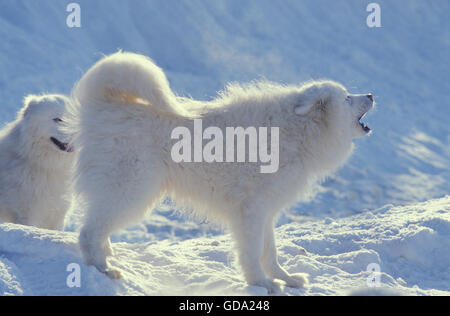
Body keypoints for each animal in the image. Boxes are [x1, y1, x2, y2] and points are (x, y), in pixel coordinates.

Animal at [67, 51, 374, 292]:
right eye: (347, 97)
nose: (371, 94)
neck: (297, 131)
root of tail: (101, 106)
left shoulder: (266, 211)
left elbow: (270, 252)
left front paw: (285, 279)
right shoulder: (251, 210)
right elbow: (252, 252)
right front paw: (262, 284)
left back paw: (109, 255)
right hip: (131, 189)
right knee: (88, 232)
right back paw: (103, 268)